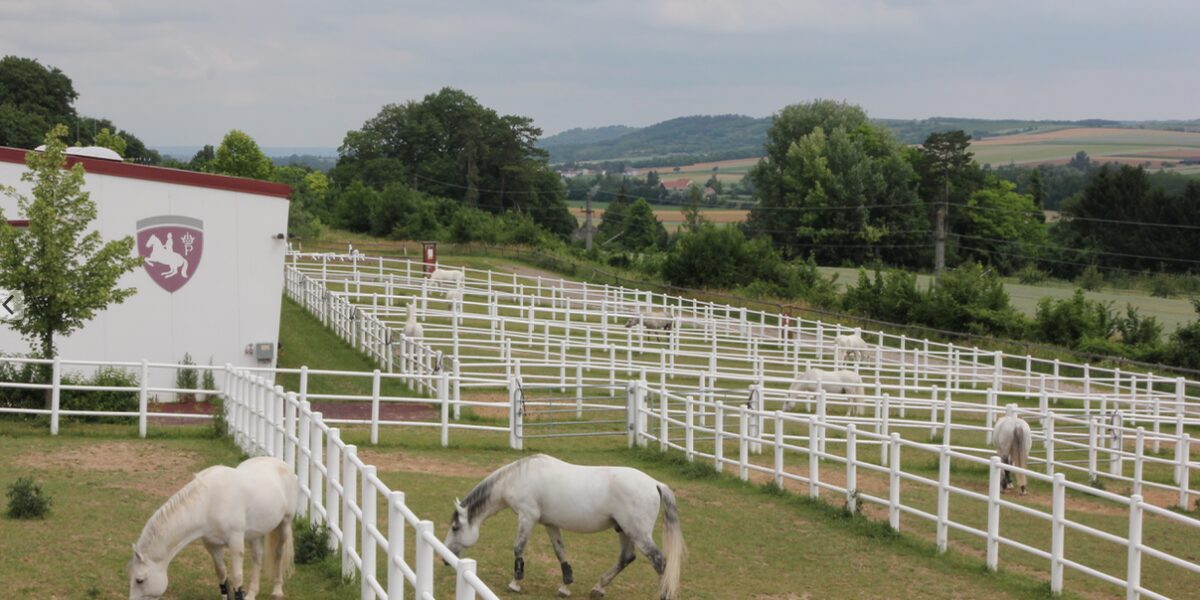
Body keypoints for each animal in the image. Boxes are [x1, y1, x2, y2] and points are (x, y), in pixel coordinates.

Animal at [128, 457, 298, 600]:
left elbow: (237, 576)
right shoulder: (212, 544)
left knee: (278, 553)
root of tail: (281, 463)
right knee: (257, 557)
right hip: (255, 533)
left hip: (285, 524)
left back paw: (277, 590)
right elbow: (221, 573)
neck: (208, 502)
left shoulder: (236, 542)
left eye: (139, 580)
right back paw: (251, 594)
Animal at [443, 454, 686, 600]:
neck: (518, 477)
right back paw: (598, 588)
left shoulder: (527, 517)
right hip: (624, 530)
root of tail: (655, 484)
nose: (445, 559)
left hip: (638, 533)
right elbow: (560, 552)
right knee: (626, 557)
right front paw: (566, 585)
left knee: (659, 561)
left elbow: (518, 548)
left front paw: (515, 583)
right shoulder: (550, 524)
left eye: (455, 527)